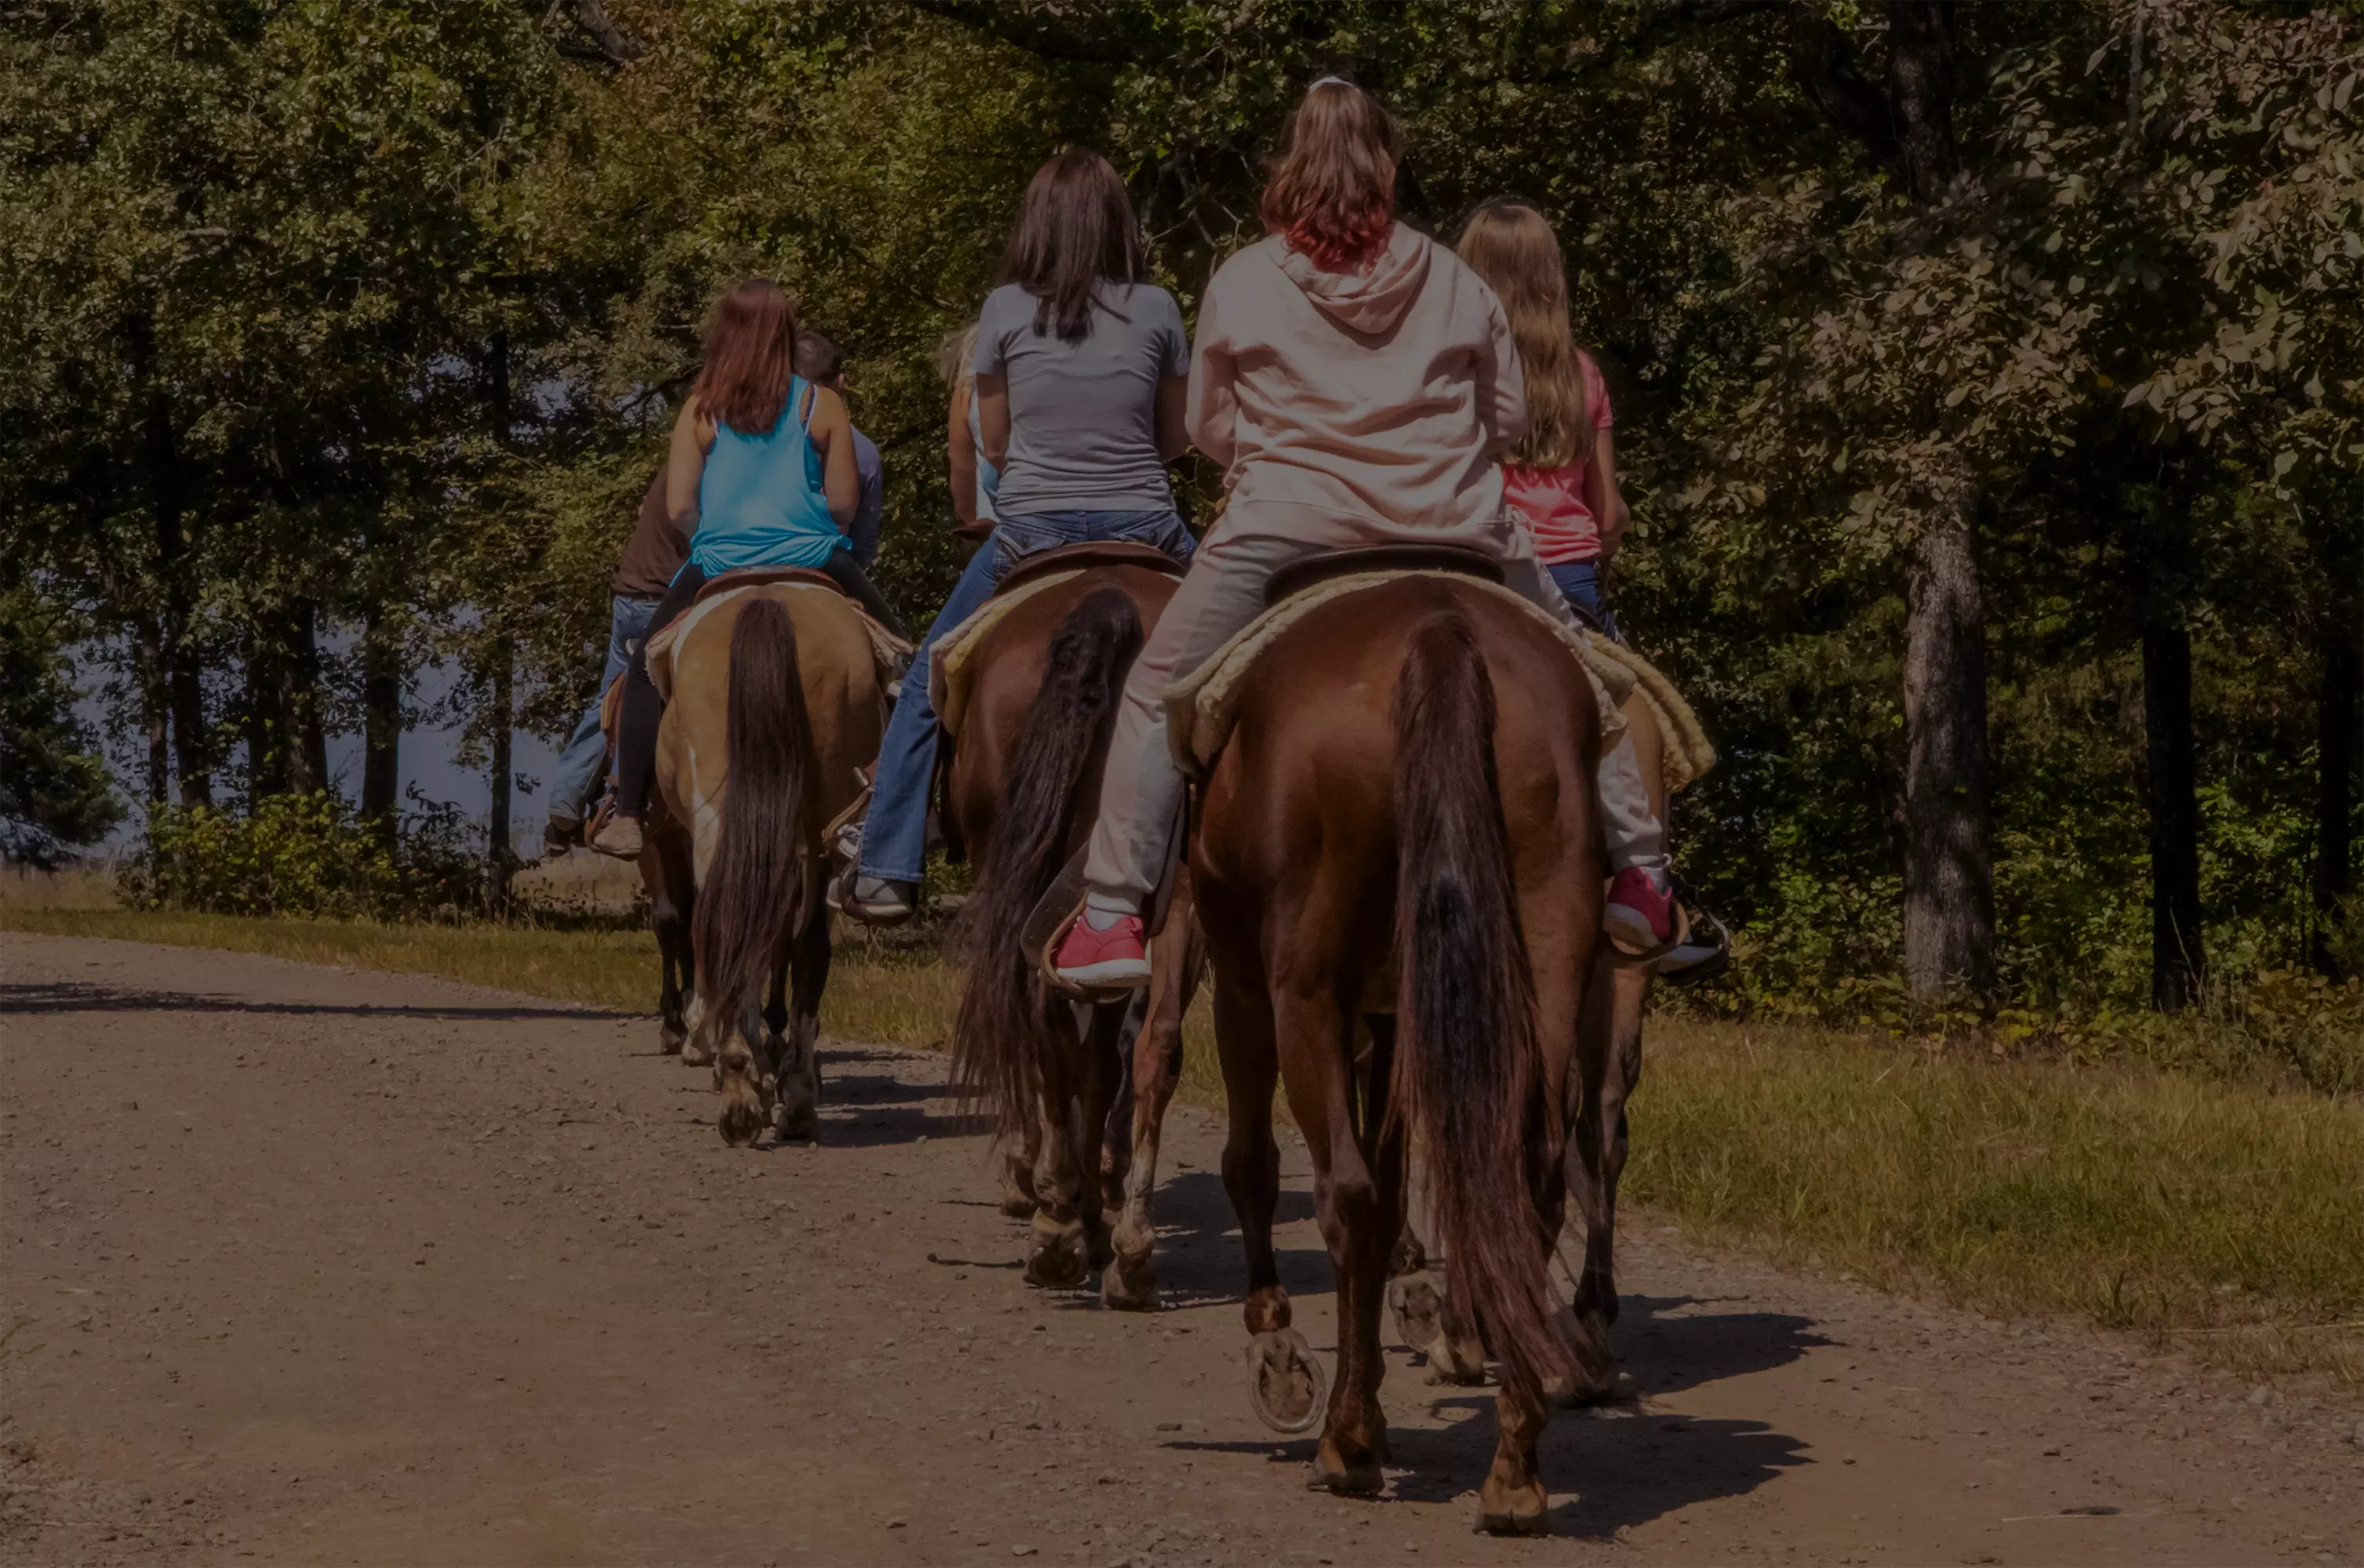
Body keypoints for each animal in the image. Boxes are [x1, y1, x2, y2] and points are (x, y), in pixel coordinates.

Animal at [1191, 560, 1617, 1532]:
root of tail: (1437, 628)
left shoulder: (1249, 989)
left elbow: (1257, 1161)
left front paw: (1278, 1337)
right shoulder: (1392, 1019)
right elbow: (1393, 1196)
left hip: (1303, 991)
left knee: (1342, 1191)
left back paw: (1344, 1441)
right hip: (1542, 952)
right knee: (1529, 1180)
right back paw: (1514, 1464)